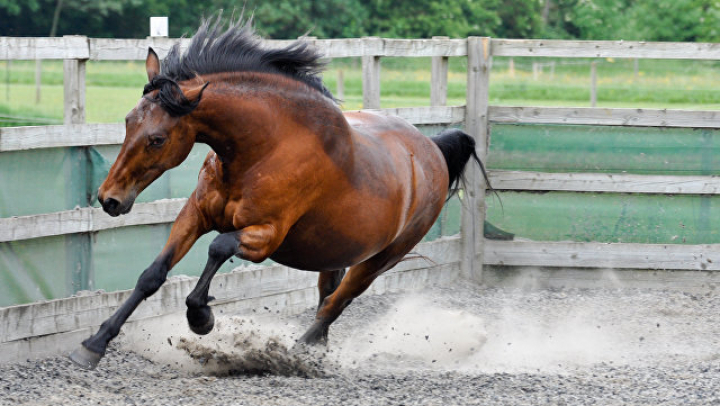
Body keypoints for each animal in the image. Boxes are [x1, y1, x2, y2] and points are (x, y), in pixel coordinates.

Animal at [69, 17, 490, 370]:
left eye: (157, 139)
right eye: (128, 121)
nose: (109, 199)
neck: (264, 149)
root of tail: (434, 148)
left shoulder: (265, 236)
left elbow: (218, 247)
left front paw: (201, 318)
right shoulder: (194, 215)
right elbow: (152, 275)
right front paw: (94, 344)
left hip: (381, 259)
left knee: (337, 303)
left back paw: (296, 353)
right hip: (335, 253)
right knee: (327, 297)